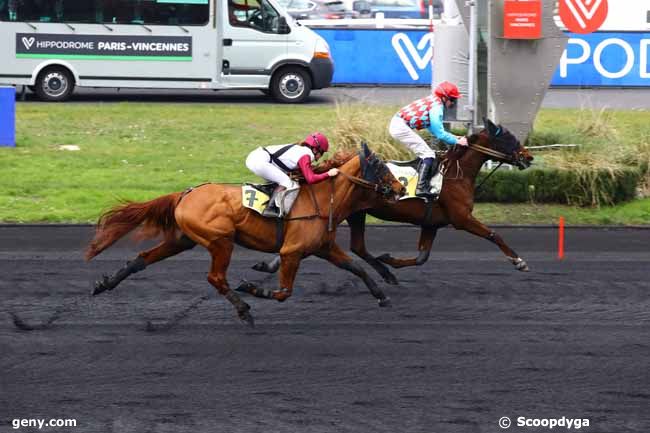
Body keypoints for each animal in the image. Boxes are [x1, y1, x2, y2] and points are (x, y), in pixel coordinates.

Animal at [83, 143, 402, 326]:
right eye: (380, 166)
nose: (399, 188)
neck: (324, 199)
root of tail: (185, 194)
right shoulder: (291, 252)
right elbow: (284, 292)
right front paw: (252, 288)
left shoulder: (323, 247)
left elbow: (357, 268)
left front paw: (383, 296)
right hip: (220, 241)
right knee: (216, 278)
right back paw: (244, 310)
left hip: (182, 240)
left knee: (142, 258)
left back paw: (103, 284)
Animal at [252, 118, 532, 284]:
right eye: (509, 138)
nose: (528, 157)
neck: (455, 173)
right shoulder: (461, 218)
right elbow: (493, 234)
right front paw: (519, 261)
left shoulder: (432, 223)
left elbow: (421, 257)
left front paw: (390, 260)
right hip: (350, 210)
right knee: (350, 245)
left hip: (357, 212)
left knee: (358, 247)